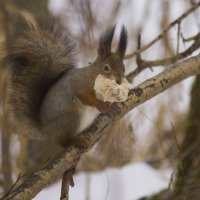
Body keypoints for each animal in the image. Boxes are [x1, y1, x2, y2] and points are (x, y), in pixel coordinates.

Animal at [3, 18, 127, 147]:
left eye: (123, 68)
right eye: (106, 68)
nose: (119, 81)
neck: (94, 76)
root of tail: (45, 131)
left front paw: (114, 103)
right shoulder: (81, 85)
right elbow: (86, 97)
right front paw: (101, 105)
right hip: (71, 118)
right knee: (63, 142)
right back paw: (77, 140)